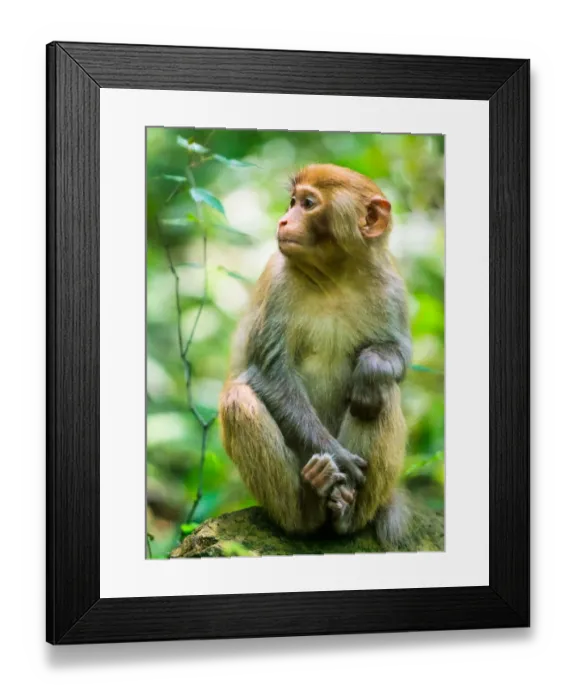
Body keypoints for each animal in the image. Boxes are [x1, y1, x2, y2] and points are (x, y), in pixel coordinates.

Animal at [219, 164, 412, 546]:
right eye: (292, 201)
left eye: (307, 204)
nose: (283, 220)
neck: (334, 278)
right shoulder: (277, 281)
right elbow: (270, 374)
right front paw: (338, 458)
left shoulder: (391, 285)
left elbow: (400, 351)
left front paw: (372, 367)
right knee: (238, 400)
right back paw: (310, 500)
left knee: (380, 396)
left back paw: (347, 517)